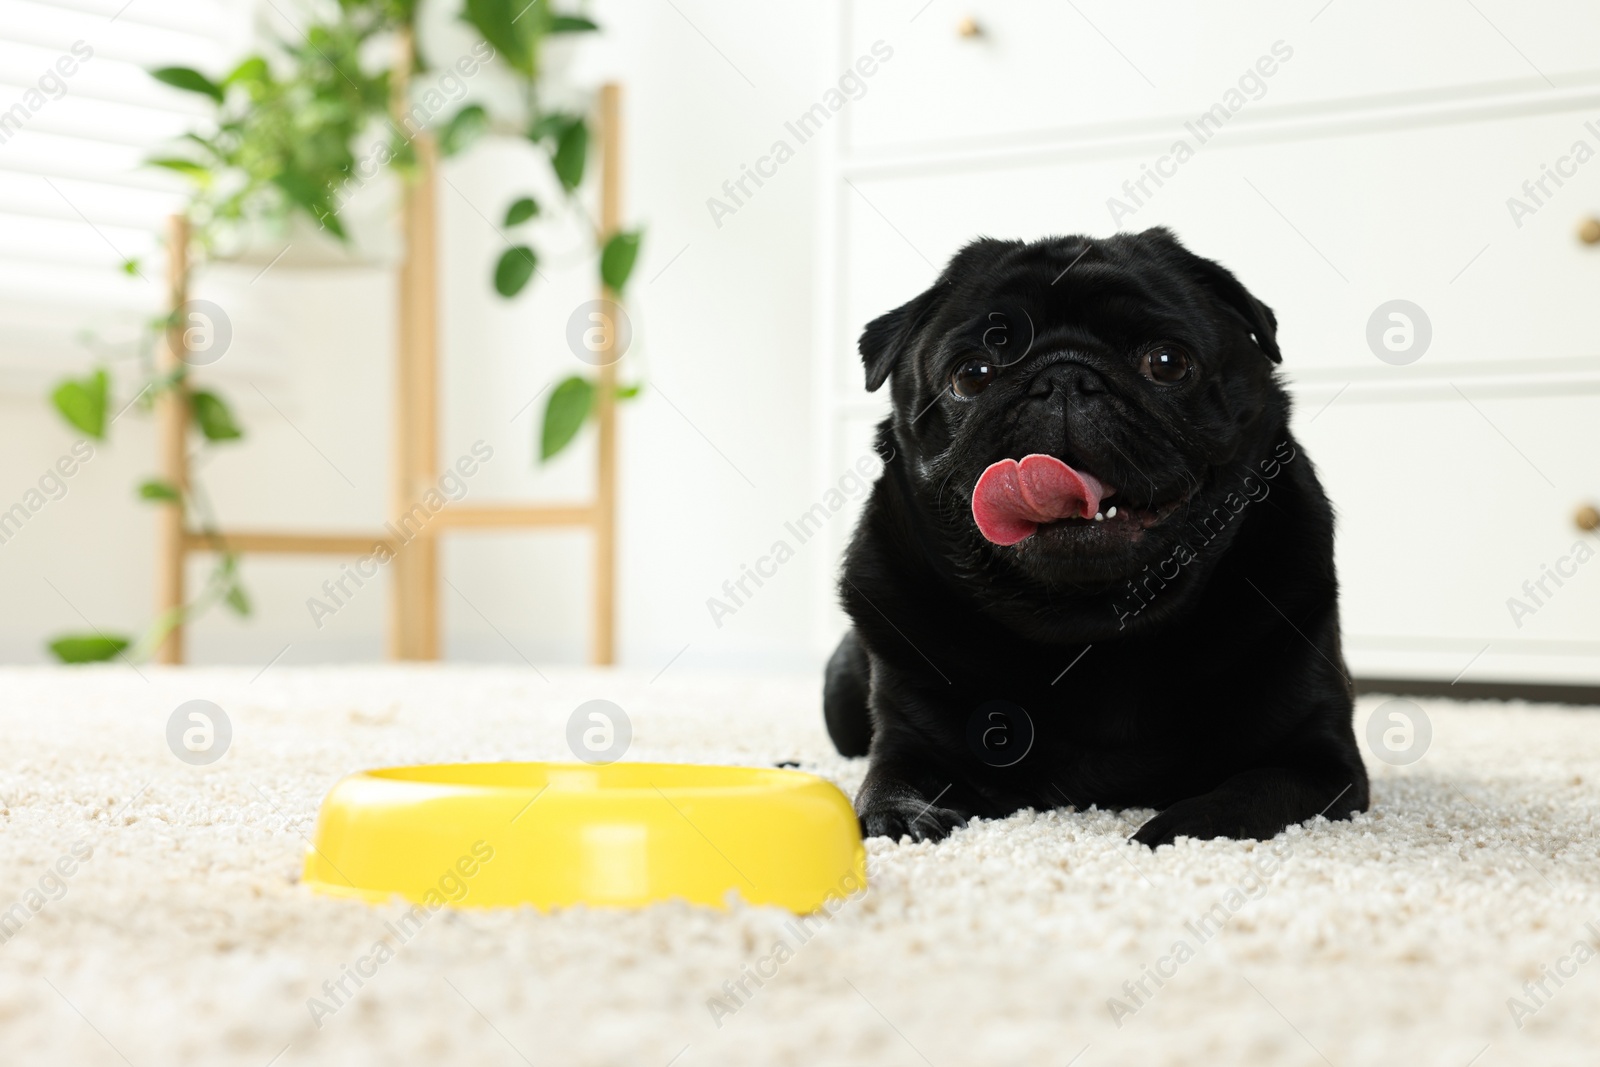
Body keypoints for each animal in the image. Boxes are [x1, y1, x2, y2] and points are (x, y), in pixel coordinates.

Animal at [832, 230, 1369, 844]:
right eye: (972, 374)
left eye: (1167, 363)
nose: (1063, 376)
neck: (1092, 624)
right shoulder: (911, 745)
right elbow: (888, 779)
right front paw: (900, 815)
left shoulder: (1320, 761)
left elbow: (1250, 793)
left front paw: (1173, 831)